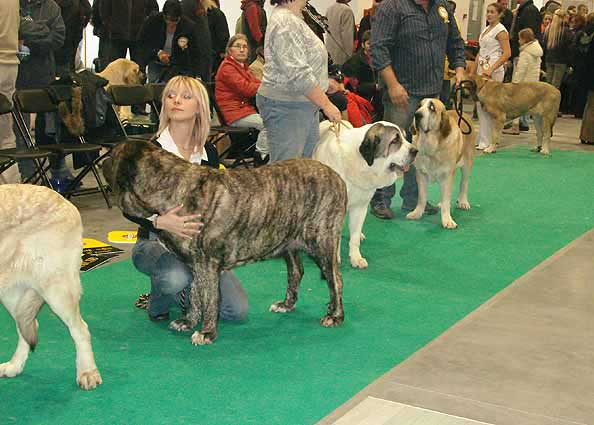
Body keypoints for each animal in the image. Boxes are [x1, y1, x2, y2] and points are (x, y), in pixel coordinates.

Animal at [0, 184, 102, 390]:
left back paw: (87, 372)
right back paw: (15, 366)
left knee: (80, 329)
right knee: (28, 324)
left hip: (57, 290)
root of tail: (63, 199)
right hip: (10, 292)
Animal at [103, 141, 346, 346]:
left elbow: (209, 298)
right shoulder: (196, 265)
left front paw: (206, 332)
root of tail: (336, 176)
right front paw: (188, 321)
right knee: (296, 271)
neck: (169, 187)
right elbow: (195, 295)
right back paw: (287, 305)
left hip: (322, 241)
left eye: (113, 155)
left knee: (335, 279)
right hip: (288, 241)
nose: (103, 161)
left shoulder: (207, 264)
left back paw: (335, 315)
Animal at [314, 119, 416, 266]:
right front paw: (335, 257)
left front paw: (356, 258)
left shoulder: (360, 206)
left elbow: (355, 236)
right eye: (394, 141)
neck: (361, 162)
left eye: (405, 137)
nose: (415, 151)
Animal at [408, 98, 472, 229]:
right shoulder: (421, 175)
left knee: (464, 183)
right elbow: (421, 197)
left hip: (467, 163)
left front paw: (447, 220)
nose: (417, 115)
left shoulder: (447, 176)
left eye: (432, 107)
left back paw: (463, 201)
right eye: (419, 106)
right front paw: (417, 213)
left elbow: (446, 198)